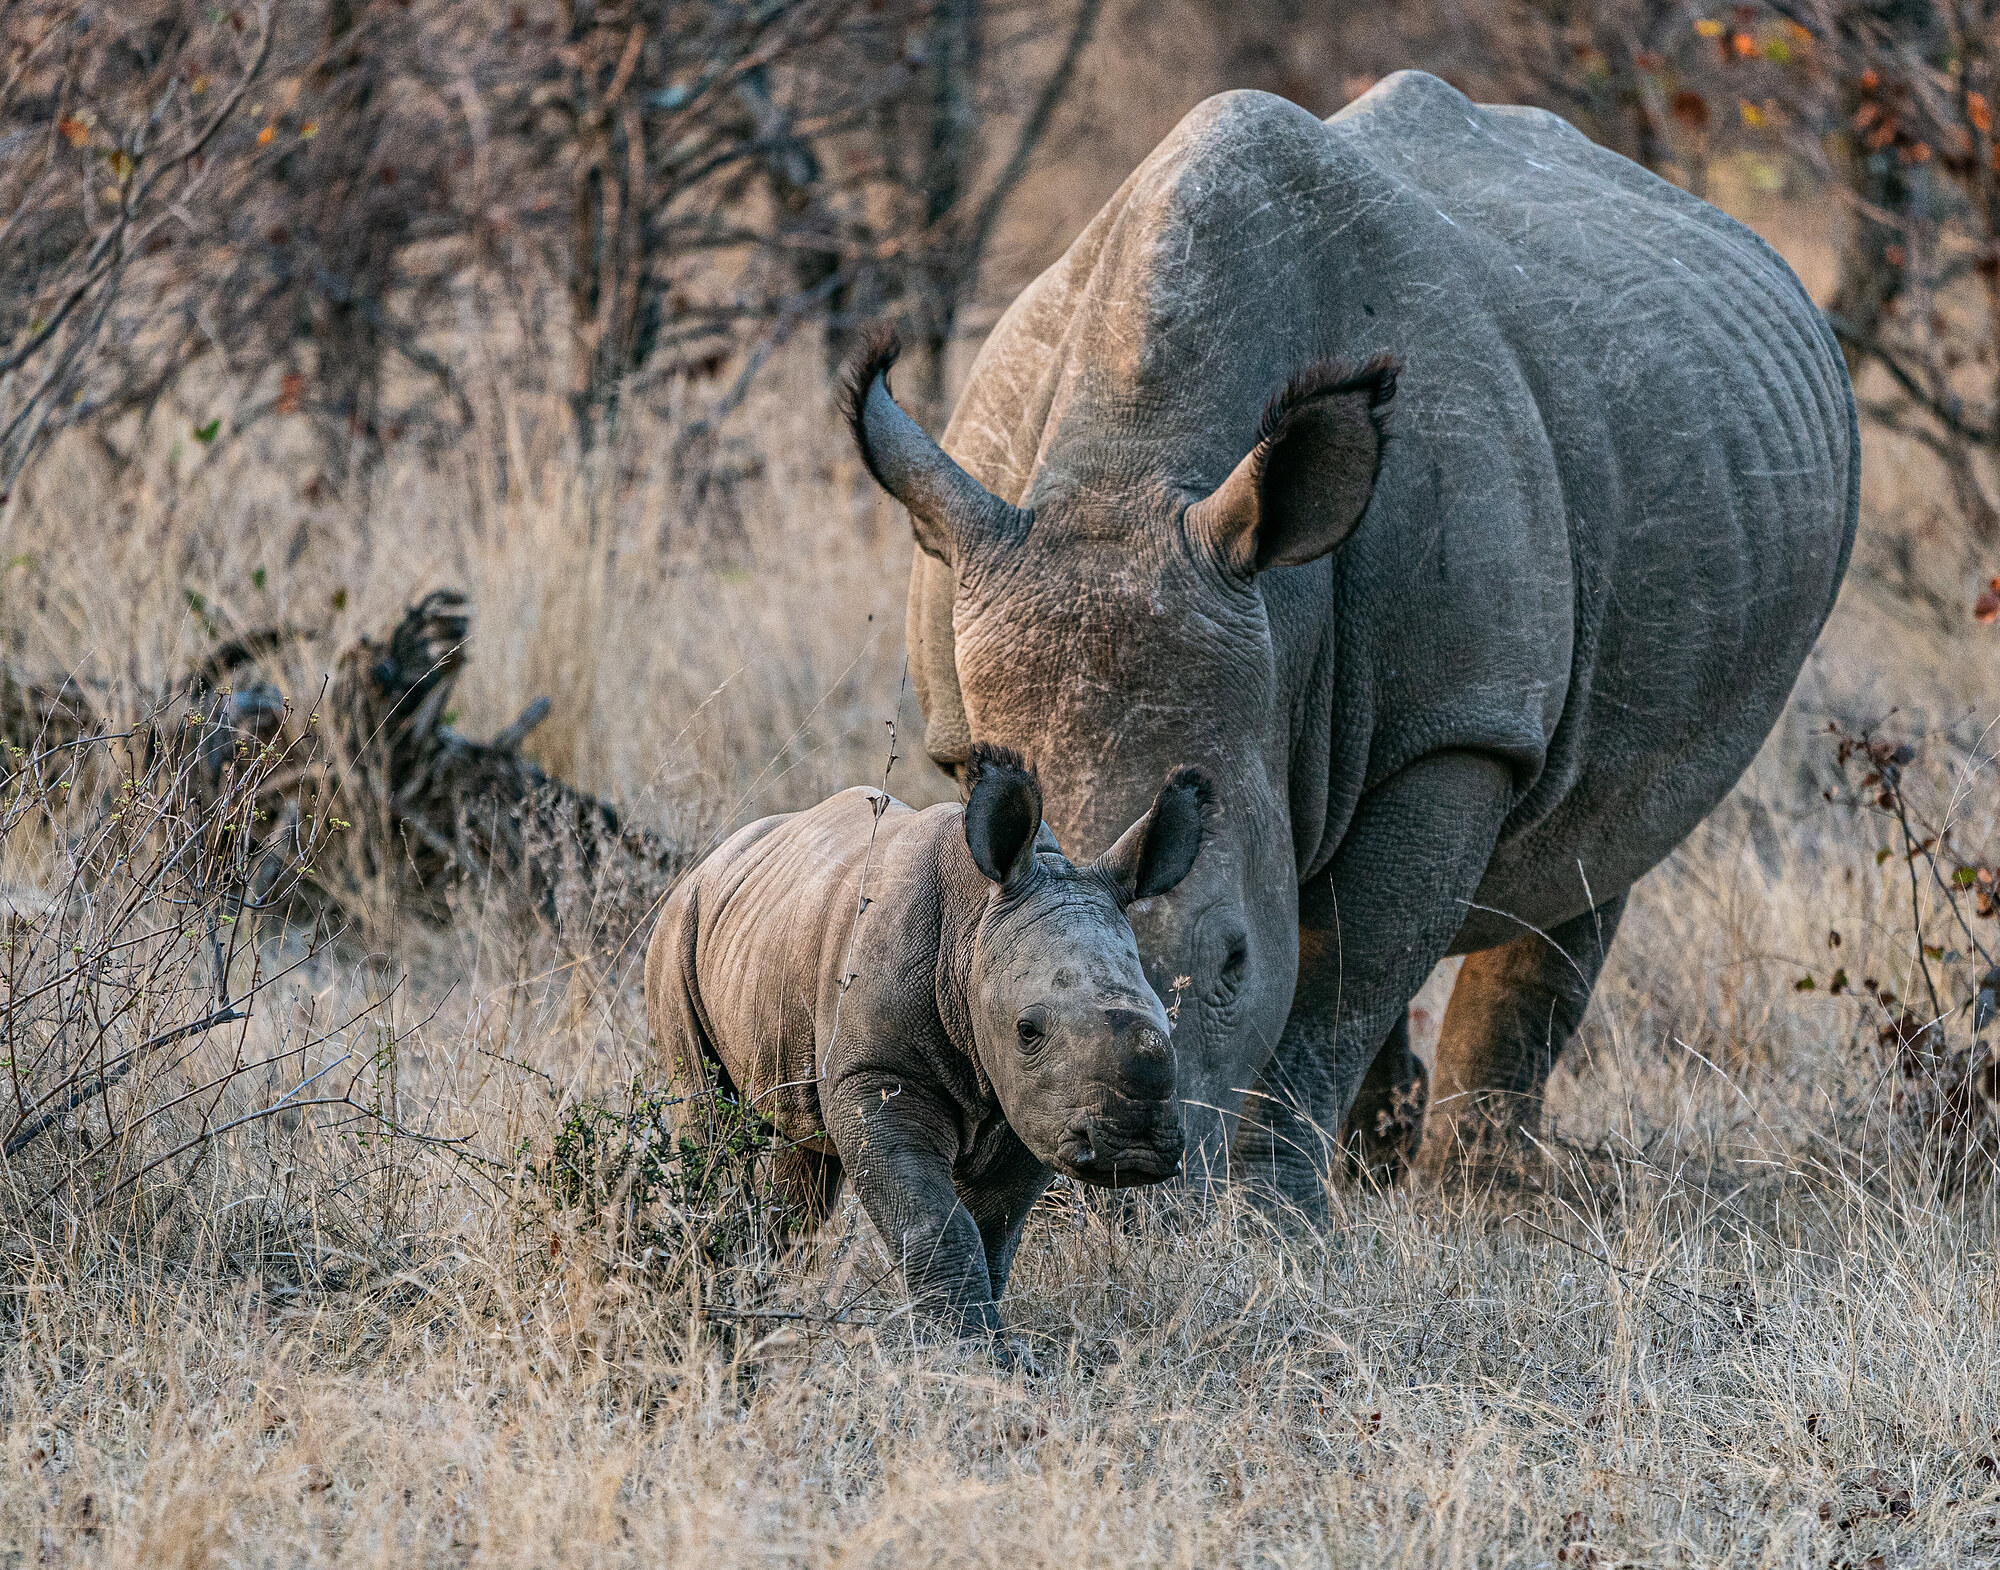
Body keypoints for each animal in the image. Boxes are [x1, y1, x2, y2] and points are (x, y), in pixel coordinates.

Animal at [645, 745, 1211, 1336]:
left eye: (1166, 1022)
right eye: (1028, 1030)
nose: (1134, 1147)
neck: (976, 923)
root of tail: (709, 862)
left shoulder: (1038, 1104)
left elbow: (993, 1224)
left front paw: (990, 1342)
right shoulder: (878, 1074)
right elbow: (932, 1217)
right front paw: (967, 1346)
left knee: (803, 1156)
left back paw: (761, 1296)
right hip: (678, 930)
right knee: (708, 1128)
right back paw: (718, 1296)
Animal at [847, 72, 1858, 1201]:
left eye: (1234, 961)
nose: (1116, 1175)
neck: (1130, 472)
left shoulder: (1456, 725)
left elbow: (1338, 985)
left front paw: (1277, 1214)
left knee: (1600, 845)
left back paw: (1474, 1188)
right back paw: (1393, 1164)